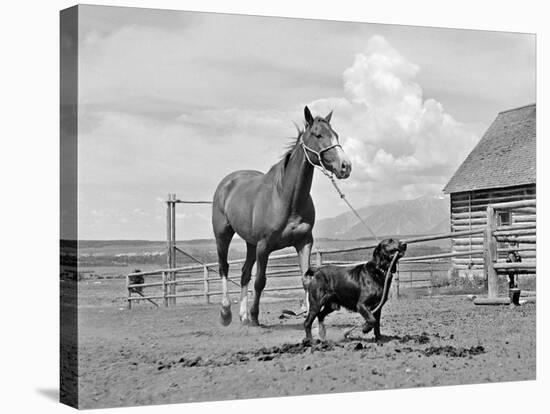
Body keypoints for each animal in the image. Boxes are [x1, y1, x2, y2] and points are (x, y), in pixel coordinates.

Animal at [213, 105, 352, 326]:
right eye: (318, 134)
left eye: (336, 134)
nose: (345, 166)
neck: (285, 199)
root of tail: (227, 183)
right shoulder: (264, 246)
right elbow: (260, 281)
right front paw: (255, 316)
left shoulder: (304, 242)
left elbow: (306, 280)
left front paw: (310, 316)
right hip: (223, 235)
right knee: (224, 268)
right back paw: (227, 313)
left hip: (250, 243)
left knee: (244, 273)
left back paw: (243, 316)